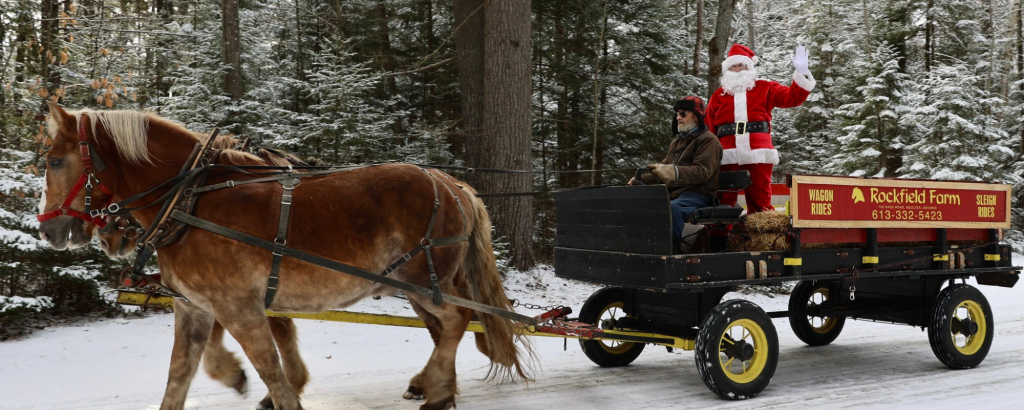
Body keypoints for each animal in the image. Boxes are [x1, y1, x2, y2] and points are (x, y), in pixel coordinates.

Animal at [37, 103, 534, 410]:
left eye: (55, 161)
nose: (49, 229)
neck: (191, 200)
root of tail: (453, 184)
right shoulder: (195, 307)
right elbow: (180, 375)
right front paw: (233, 376)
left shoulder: (239, 307)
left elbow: (272, 370)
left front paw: (258, 382)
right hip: (422, 285)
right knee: (447, 327)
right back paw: (435, 388)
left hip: (421, 281)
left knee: (455, 321)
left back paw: (436, 393)